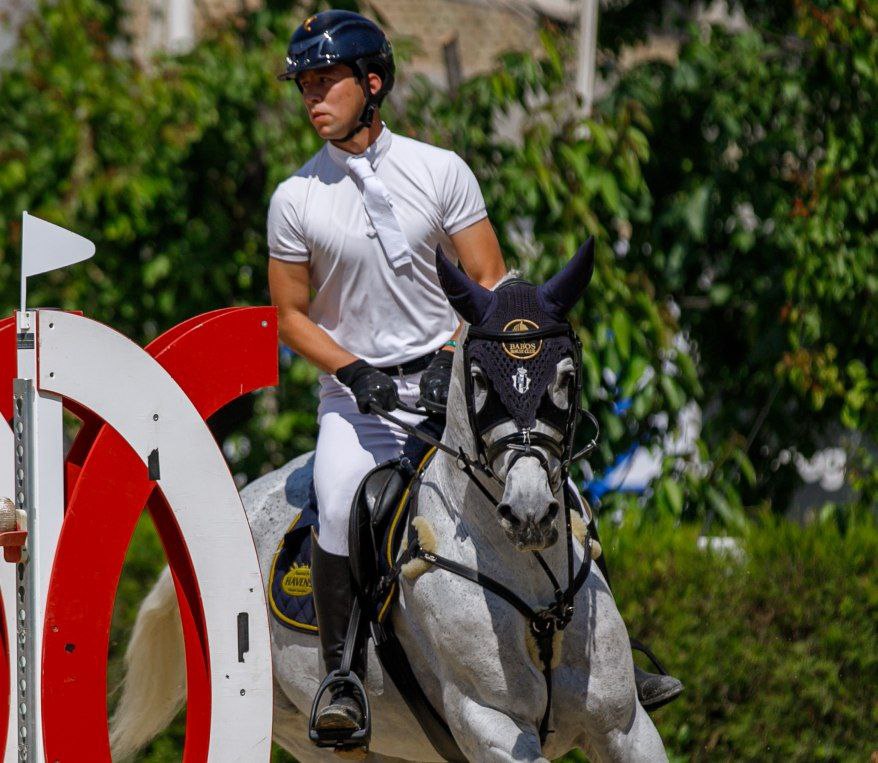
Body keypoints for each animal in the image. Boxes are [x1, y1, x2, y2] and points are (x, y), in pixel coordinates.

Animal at [110, 239, 667, 762]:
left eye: (566, 376)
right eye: (480, 381)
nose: (529, 512)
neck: (531, 578)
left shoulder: (626, 729)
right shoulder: (492, 727)